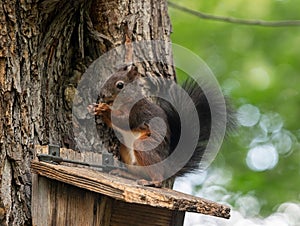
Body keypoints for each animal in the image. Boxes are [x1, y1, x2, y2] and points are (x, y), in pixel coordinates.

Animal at [88, 65, 233, 187]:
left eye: (120, 85)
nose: (102, 95)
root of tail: (167, 167)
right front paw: (94, 108)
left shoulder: (136, 111)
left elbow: (123, 121)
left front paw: (105, 109)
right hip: (125, 150)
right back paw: (124, 173)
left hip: (145, 146)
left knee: (157, 178)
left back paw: (151, 182)